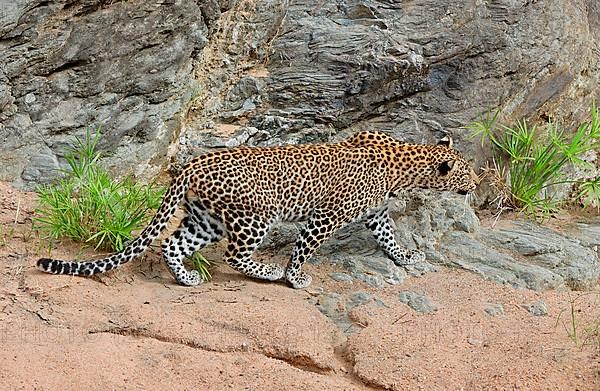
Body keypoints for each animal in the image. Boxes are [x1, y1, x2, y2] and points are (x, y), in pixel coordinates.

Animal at [37, 130, 478, 290]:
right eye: (467, 171)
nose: (476, 183)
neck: (405, 166)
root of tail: (192, 164)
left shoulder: (376, 212)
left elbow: (388, 235)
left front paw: (405, 256)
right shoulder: (326, 217)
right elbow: (304, 248)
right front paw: (296, 277)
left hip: (207, 219)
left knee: (173, 244)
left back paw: (187, 279)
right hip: (254, 216)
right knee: (235, 255)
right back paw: (269, 272)